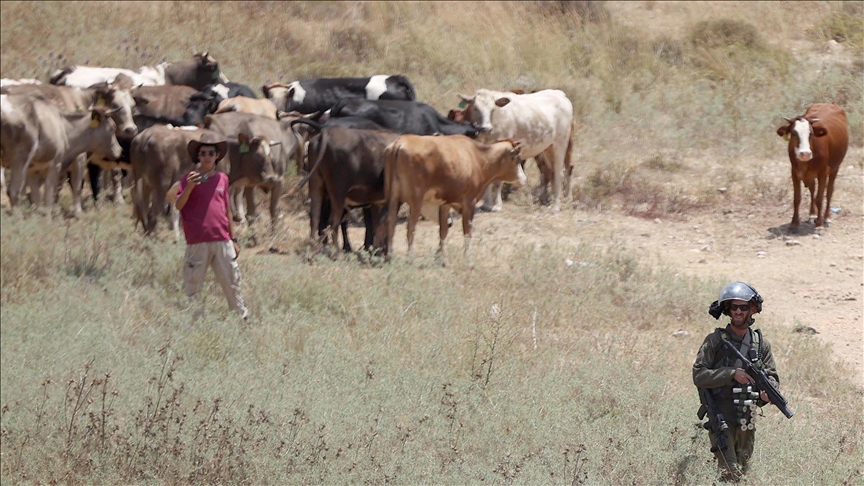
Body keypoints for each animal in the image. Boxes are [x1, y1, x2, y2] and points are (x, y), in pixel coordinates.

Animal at [286, 118, 402, 254]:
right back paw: (336, 251)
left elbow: (377, 224)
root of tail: (327, 132)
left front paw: (376, 250)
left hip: (316, 184)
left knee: (315, 216)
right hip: (338, 192)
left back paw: (314, 248)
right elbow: (387, 223)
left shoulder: (376, 202)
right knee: (333, 221)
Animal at [380, 134, 528, 266]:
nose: (524, 179)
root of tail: (401, 142)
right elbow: (467, 232)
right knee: (411, 226)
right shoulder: (469, 202)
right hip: (416, 200)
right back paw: (409, 258)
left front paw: (440, 258)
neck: (478, 158)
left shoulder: (445, 203)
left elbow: (443, 230)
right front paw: (468, 260)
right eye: (518, 159)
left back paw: (389, 256)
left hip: (393, 198)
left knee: (390, 222)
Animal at [776, 103, 852, 232]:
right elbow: (797, 198)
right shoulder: (794, 173)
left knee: (829, 191)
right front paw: (794, 224)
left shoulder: (823, 173)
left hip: (835, 168)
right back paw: (813, 215)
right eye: (794, 133)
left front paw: (820, 225)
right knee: (812, 189)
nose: (805, 154)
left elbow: (819, 198)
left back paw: (826, 218)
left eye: (811, 133)